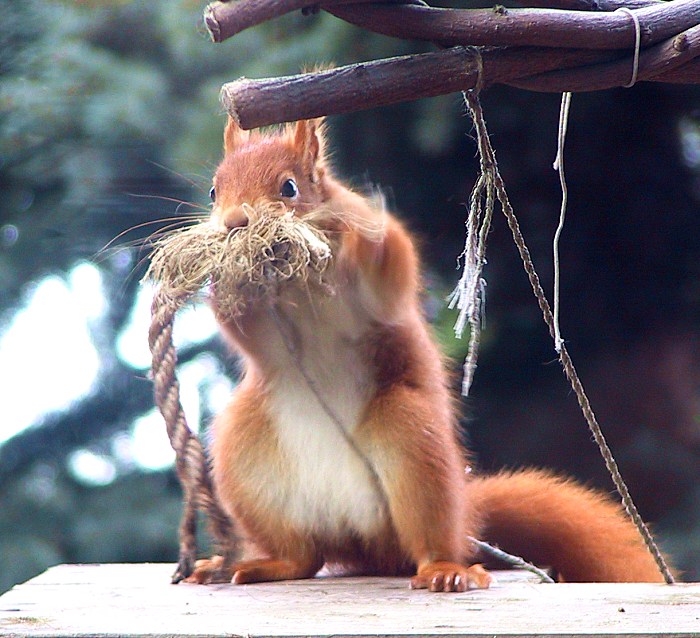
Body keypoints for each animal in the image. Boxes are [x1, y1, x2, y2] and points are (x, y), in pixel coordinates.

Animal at [186, 116, 668, 596]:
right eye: (213, 191)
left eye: (288, 188)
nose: (233, 223)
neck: (297, 279)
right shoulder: (268, 332)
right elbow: (245, 329)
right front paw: (224, 275)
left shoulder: (378, 301)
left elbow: (389, 275)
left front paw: (370, 240)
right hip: (246, 457)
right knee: (304, 556)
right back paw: (262, 564)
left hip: (412, 441)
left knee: (428, 537)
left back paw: (445, 569)